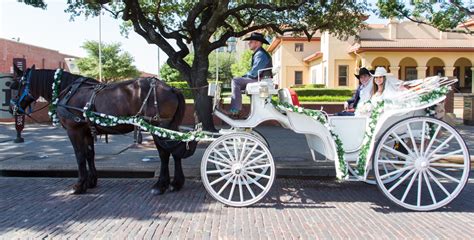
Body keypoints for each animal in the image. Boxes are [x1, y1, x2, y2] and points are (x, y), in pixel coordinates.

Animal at [10, 65, 196, 195]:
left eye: (14, 85)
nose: (12, 108)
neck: (67, 90)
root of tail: (171, 88)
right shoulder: (86, 130)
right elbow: (89, 154)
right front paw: (91, 181)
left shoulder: (74, 130)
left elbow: (79, 156)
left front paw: (79, 185)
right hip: (169, 126)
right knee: (176, 150)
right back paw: (176, 183)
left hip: (158, 126)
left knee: (165, 154)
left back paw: (160, 185)